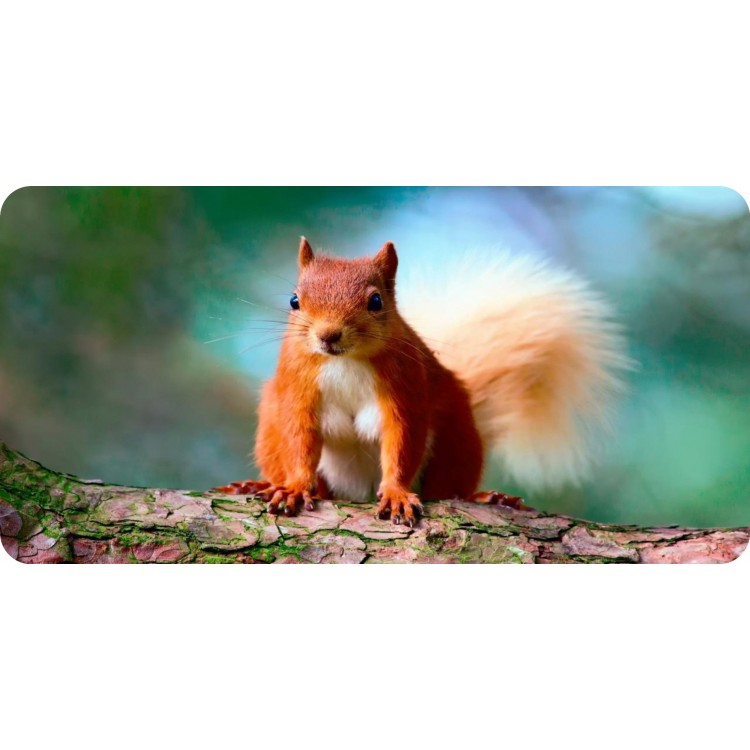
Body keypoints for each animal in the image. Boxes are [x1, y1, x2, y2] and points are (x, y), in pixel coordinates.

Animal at [215, 237, 629, 527]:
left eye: (376, 301)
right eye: (294, 301)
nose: (328, 335)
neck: (344, 361)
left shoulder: (406, 387)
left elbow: (402, 441)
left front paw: (397, 493)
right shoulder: (297, 386)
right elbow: (299, 439)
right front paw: (296, 488)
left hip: (457, 438)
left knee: (448, 488)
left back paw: (485, 498)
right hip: (270, 423)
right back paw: (256, 485)